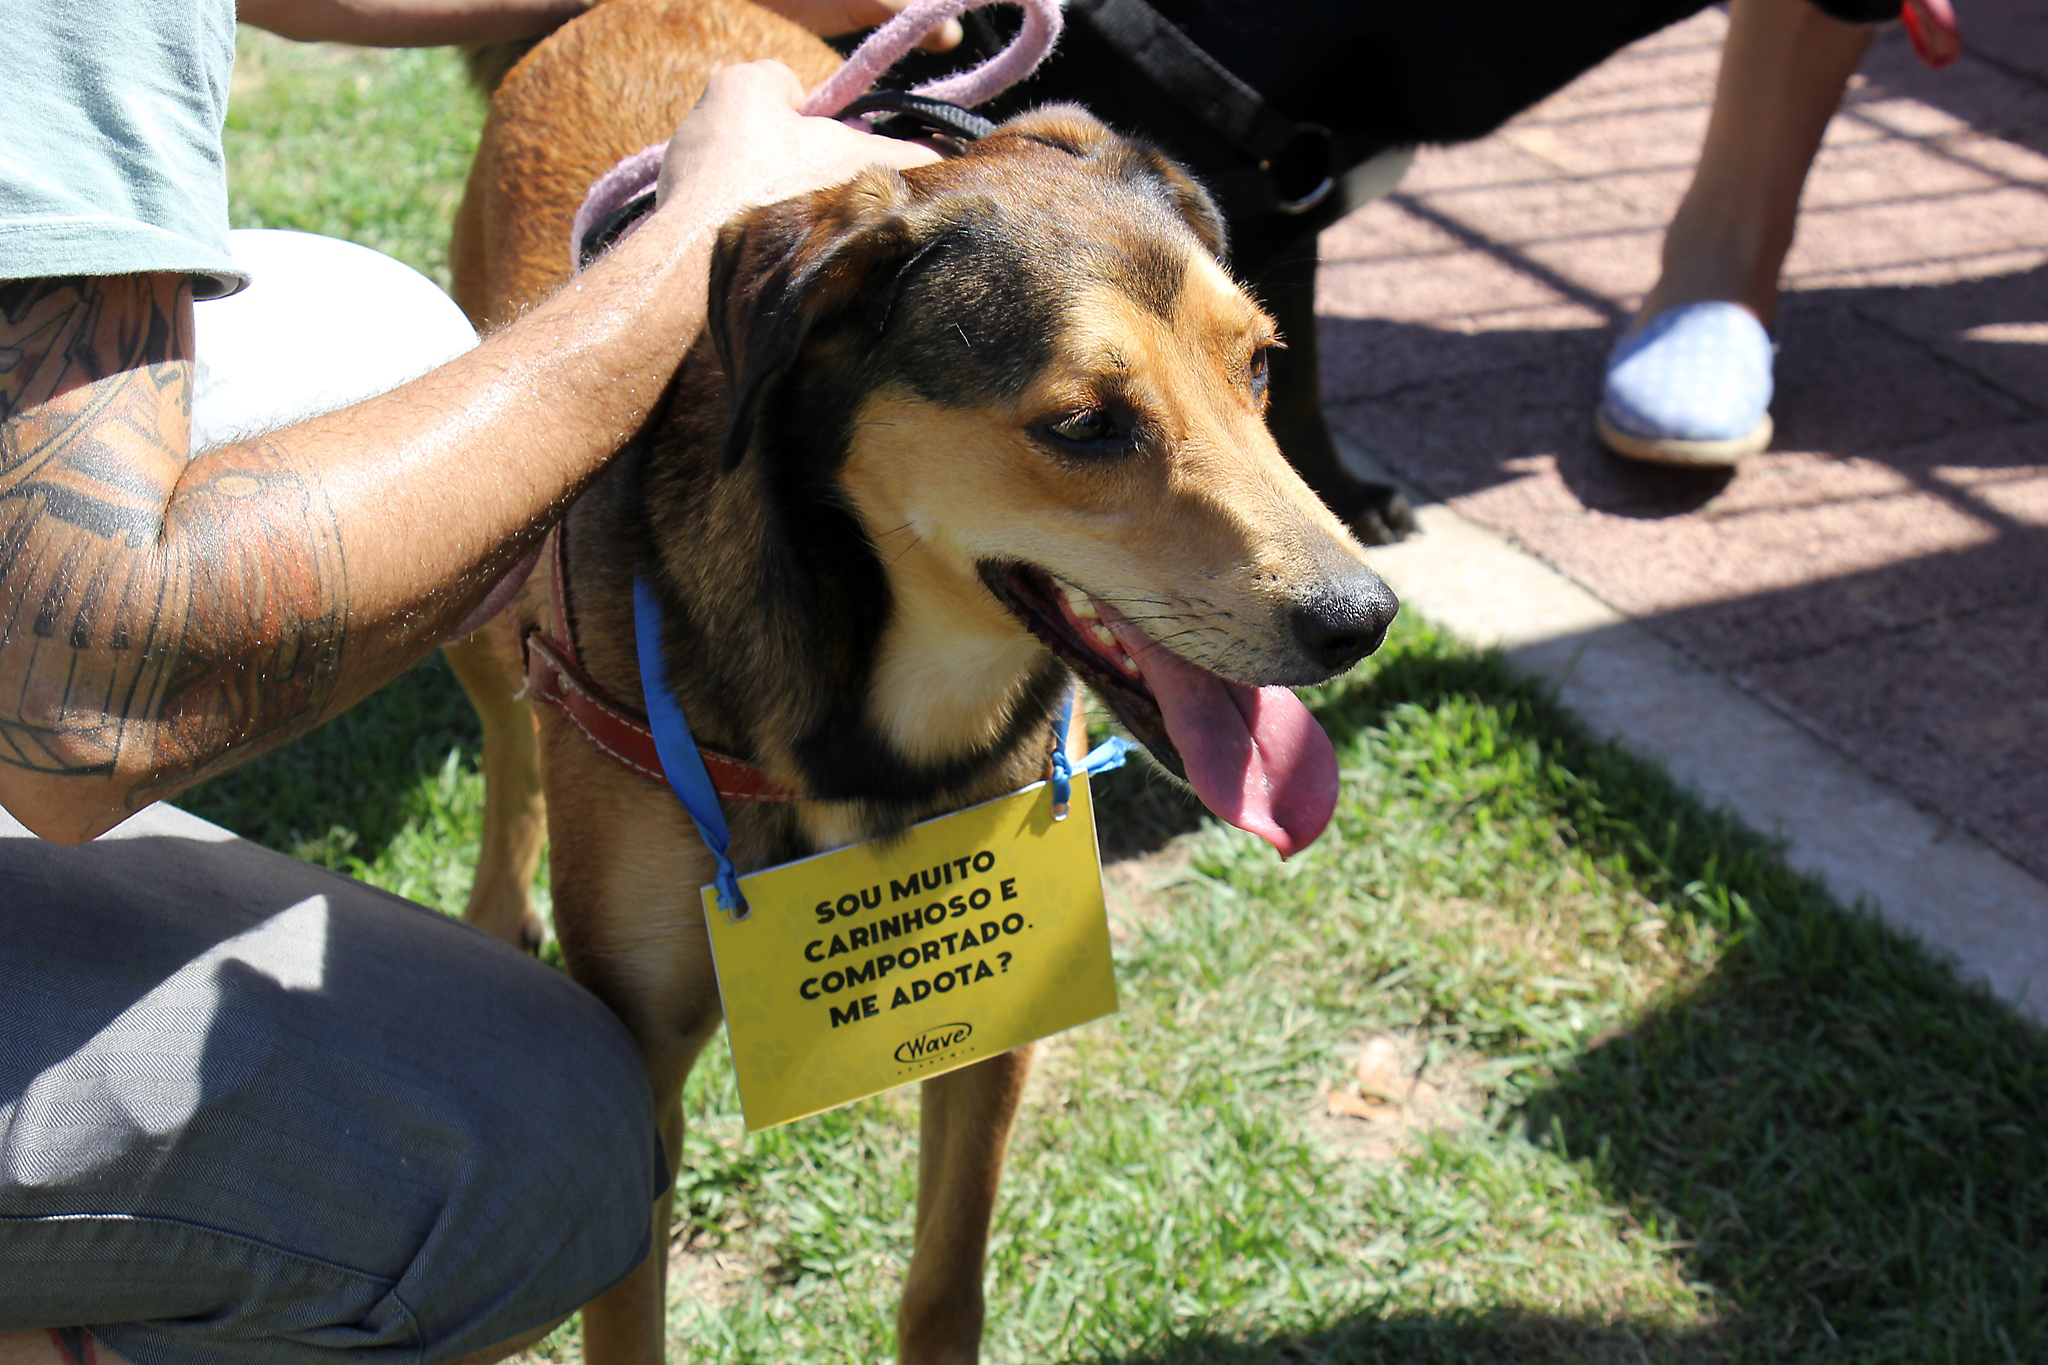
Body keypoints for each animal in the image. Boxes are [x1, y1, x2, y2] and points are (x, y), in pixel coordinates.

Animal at [440, 0, 1400, 1358]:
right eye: (1082, 425)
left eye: (1262, 365)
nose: (1361, 621)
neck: (873, 703)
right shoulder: (633, 1059)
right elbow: (626, 1316)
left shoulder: (1007, 1001)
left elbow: (945, 1286)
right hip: (476, 579)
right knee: (510, 743)